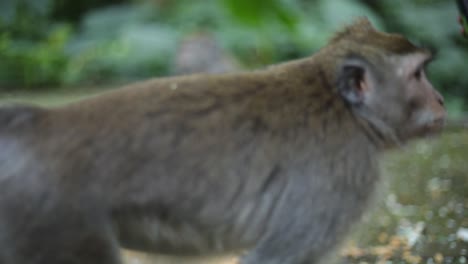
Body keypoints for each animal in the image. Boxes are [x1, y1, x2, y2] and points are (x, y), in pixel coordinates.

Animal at [0, 17, 446, 262]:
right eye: (417, 75)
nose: (441, 99)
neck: (339, 102)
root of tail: (36, 123)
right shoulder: (342, 177)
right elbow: (278, 257)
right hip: (57, 223)